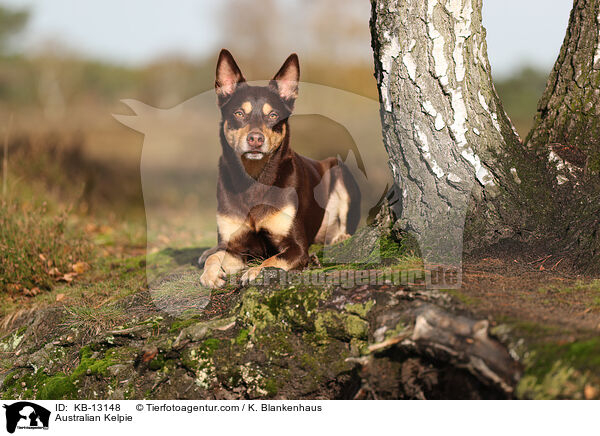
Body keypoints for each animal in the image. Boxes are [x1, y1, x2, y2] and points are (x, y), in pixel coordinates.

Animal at [200, 49, 360, 288]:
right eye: (239, 113)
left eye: (273, 115)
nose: (255, 139)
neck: (254, 178)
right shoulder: (236, 247)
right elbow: (217, 256)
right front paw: (210, 275)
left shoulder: (296, 247)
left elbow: (273, 259)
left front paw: (255, 272)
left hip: (339, 171)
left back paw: (340, 238)